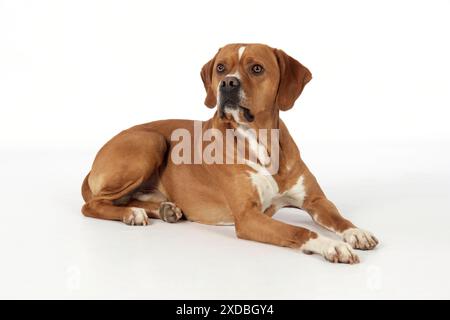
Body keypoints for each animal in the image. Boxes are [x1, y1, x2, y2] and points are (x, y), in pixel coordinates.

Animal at [80, 43, 376, 262]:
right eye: (220, 67)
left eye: (257, 68)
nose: (228, 83)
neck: (261, 141)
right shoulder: (247, 217)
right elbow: (299, 231)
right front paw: (331, 246)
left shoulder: (315, 201)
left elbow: (338, 217)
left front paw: (356, 232)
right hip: (150, 141)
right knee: (93, 204)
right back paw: (132, 213)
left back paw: (163, 209)